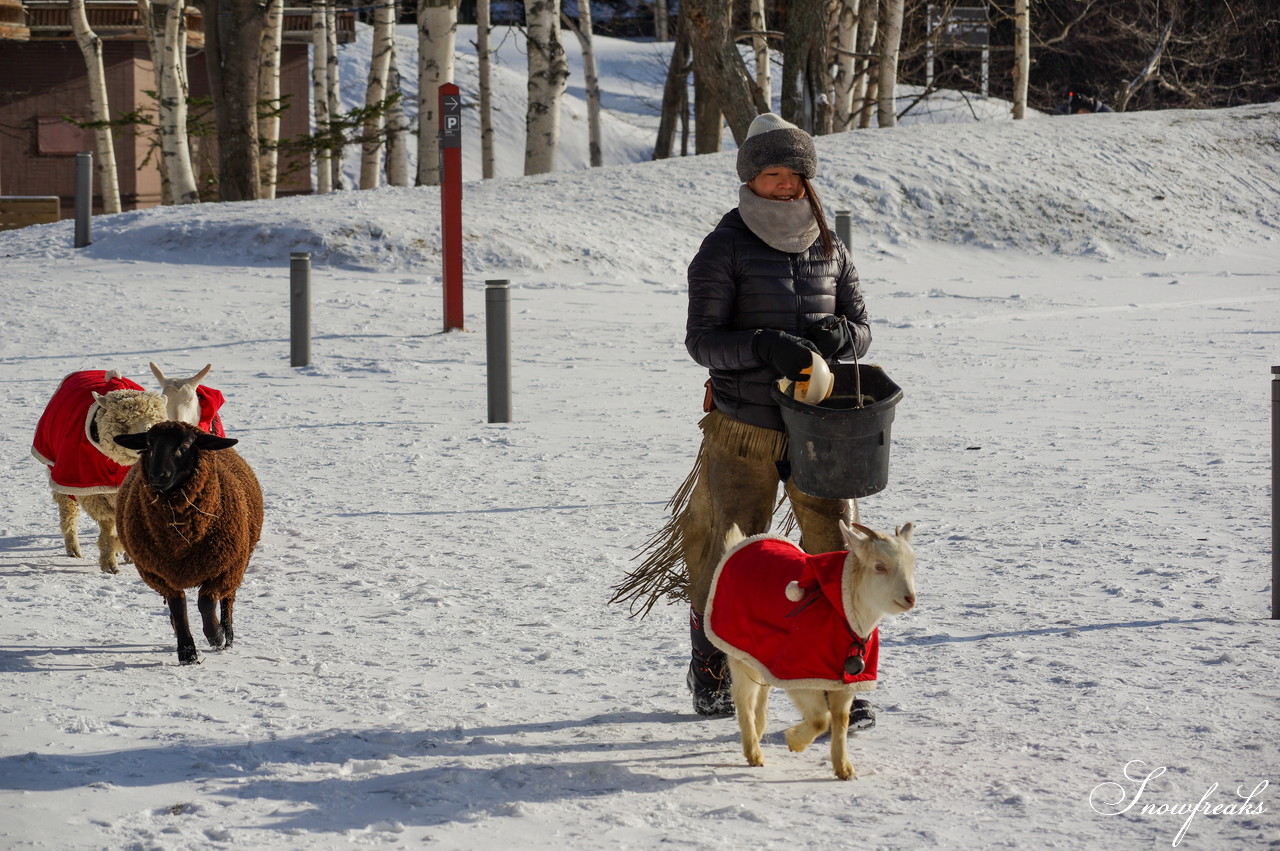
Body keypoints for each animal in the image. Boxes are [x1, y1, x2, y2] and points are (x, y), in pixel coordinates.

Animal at [113, 417, 263, 665]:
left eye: (185, 445)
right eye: (149, 444)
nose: (158, 476)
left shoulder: (224, 568)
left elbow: (206, 602)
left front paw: (216, 636)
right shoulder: (159, 574)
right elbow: (178, 607)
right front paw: (187, 653)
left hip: (238, 563)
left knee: (227, 600)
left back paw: (227, 635)